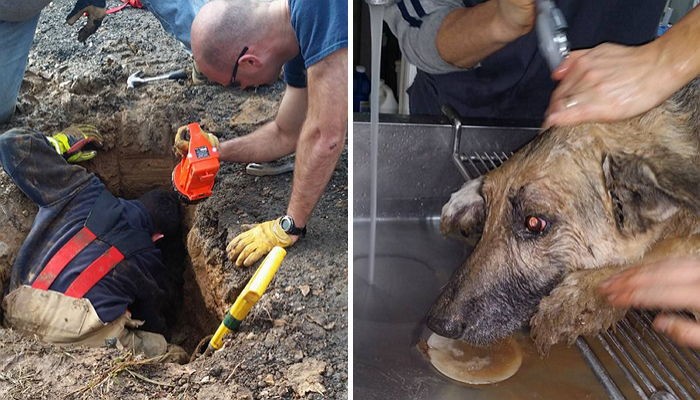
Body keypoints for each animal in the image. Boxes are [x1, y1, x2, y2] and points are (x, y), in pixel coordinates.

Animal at [430, 78, 696, 354]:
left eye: (534, 223)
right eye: (489, 204)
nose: (437, 323)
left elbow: (663, 251)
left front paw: (579, 293)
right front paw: (469, 196)